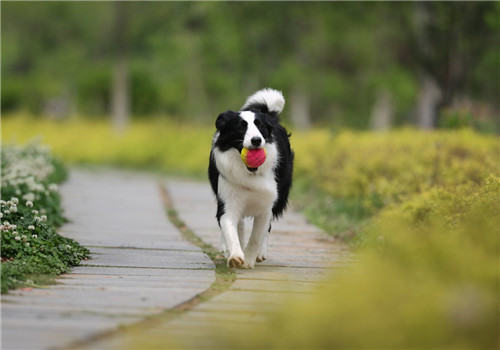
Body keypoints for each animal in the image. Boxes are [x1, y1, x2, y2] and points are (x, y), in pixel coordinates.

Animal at [210, 89, 294, 270]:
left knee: (267, 228)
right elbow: (229, 227)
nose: (256, 140)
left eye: (260, 126)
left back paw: (260, 254)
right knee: (239, 225)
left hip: (280, 196)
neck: (249, 173)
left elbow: (257, 235)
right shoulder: (228, 202)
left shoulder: (267, 205)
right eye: (241, 127)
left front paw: (249, 260)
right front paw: (235, 256)